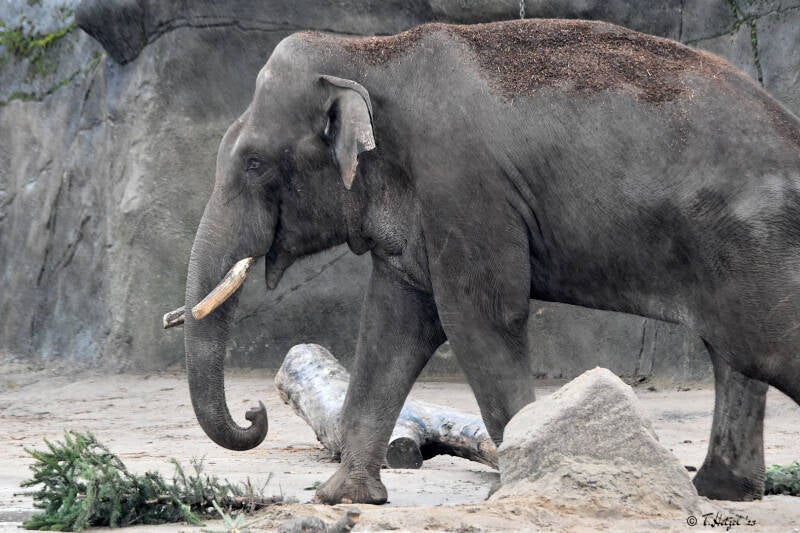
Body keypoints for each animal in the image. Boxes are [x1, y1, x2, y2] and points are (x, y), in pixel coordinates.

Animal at [182, 18, 800, 505]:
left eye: (254, 163)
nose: (254, 411)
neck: (371, 52)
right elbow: (391, 327)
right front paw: (345, 497)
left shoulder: (464, 186)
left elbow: (478, 317)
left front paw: (516, 488)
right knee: (733, 352)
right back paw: (720, 491)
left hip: (759, 241)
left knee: (763, 347)